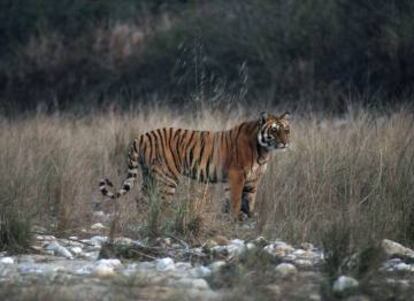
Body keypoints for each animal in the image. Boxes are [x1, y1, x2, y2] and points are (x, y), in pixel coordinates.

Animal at [98, 111, 290, 219]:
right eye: (274, 130)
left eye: (286, 130)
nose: (285, 143)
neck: (264, 150)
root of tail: (142, 136)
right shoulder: (236, 176)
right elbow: (235, 202)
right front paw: (234, 221)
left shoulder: (252, 181)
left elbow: (248, 202)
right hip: (167, 178)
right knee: (161, 203)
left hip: (150, 176)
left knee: (142, 201)